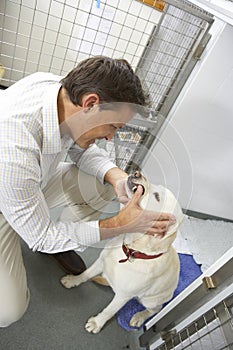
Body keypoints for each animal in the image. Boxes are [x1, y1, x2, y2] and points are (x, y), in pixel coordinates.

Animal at [60, 172, 184, 334]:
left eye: (157, 196)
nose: (137, 172)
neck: (131, 251)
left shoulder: (123, 296)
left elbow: (109, 311)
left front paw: (96, 323)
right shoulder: (101, 262)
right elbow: (86, 274)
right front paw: (73, 280)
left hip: (150, 300)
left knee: (155, 310)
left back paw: (139, 317)